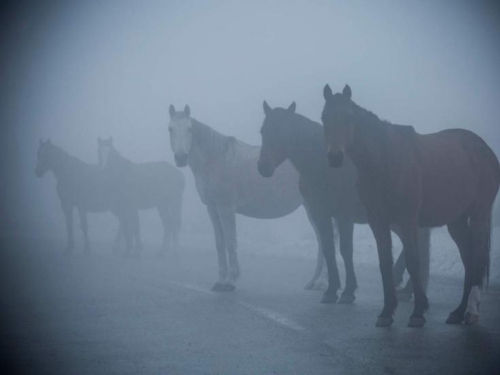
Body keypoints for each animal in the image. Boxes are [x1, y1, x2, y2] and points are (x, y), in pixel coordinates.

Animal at [167, 104, 324, 292]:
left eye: (189, 129)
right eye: (170, 129)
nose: (181, 157)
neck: (216, 160)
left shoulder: (226, 207)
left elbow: (230, 242)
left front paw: (230, 281)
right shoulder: (212, 207)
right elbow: (219, 243)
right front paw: (220, 280)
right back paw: (313, 282)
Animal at [256, 101, 432, 304]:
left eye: (283, 131)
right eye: (263, 131)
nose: (263, 167)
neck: (322, 165)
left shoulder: (344, 215)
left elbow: (345, 250)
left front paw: (348, 291)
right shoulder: (320, 214)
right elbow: (328, 249)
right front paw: (331, 290)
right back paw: (407, 288)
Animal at [322, 83, 498, 328]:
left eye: (348, 117)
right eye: (324, 118)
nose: (335, 157)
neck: (385, 160)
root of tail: (484, 150)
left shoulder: (408, 221)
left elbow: (414, 261)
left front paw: (418, 313)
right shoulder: (378, 222)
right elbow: (384, 262)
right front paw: (387, 312)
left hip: (479, 214)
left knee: (478, 258)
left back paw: (471, 312)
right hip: (457, 221)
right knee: (469, 259)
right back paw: (458, 312)